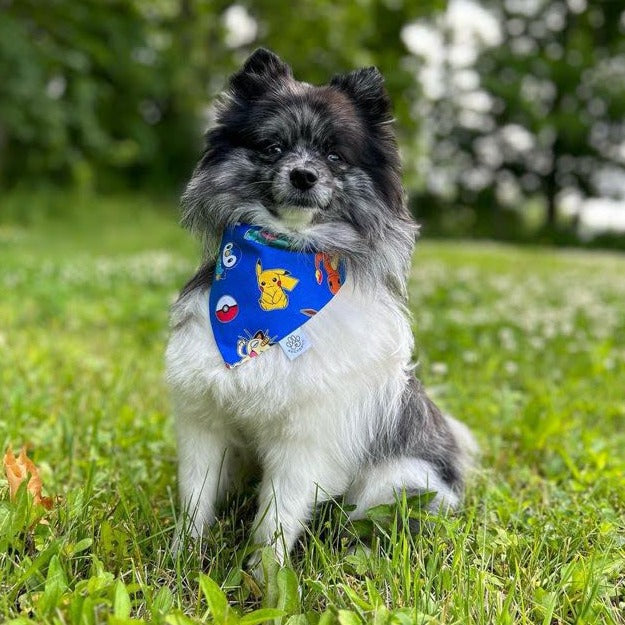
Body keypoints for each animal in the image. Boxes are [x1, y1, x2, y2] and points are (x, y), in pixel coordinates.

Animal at [163, 47, 476, 564]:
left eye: (334, 155)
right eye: (272, 148)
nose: (303, 175)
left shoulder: (305, 444)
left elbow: (275, 522)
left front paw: (262, 577)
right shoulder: (205, 424)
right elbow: (196, 501)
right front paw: (181, 559)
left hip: (396, 481)